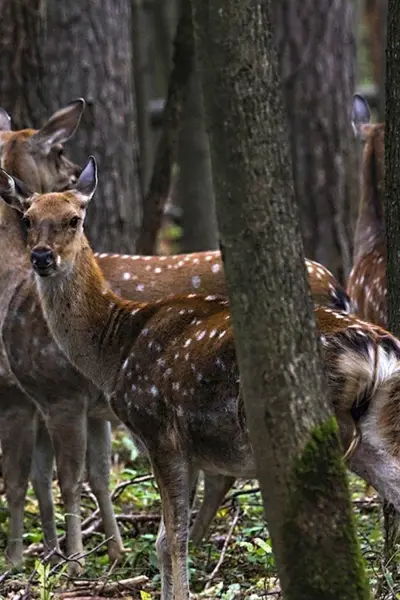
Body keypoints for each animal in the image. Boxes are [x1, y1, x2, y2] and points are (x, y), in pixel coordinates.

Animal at [4, 156, 400, 600]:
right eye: (28, 218)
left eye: (74, 219)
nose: (41, 257)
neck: (116, 345)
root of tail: (377, 346)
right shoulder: (187, 448)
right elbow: (165, 539)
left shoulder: (158, 431)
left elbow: (174, 537)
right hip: (376, 426)